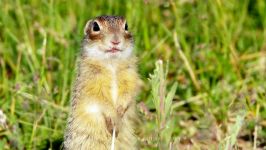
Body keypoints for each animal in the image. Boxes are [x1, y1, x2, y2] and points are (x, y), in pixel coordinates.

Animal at [63, 15, 141, 150]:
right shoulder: (91, 81)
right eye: (95, 27)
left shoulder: (130, 75)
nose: (116, 41)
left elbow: (128, 92)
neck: (111, 64)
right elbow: (100, 98)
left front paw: (120, 110)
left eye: (126, 26)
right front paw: (113, 118)